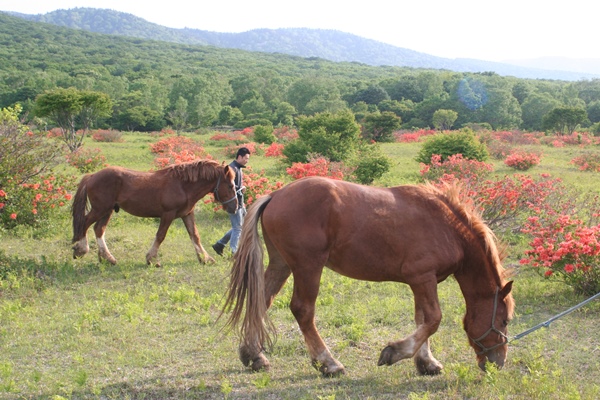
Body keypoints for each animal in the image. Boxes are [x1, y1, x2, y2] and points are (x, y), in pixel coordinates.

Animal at [72, 159, 237, 266]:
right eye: (230, 186)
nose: (235, 207)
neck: (183, 186)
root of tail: (92, 176)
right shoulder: (168, 214)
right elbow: (160, 235)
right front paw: (151, 259)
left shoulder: (187, 214)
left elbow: (194, 236)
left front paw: (205, 258)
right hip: (100, 209)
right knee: (84, 224)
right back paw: (81, 250)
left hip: (107, 211)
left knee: (98, 229)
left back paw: (107, 258)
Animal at [223, 177, 512, 376]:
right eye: (505, 321)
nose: (498, 363)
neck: (447, 227)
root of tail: (276, 195)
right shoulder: (423, 278)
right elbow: (432, 320)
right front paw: (395, 353)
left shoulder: (420, 283)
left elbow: (422, 320)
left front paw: (426, 362)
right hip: (308, 267)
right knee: (303, 310)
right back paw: (328, 363)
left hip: (282, 265)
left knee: (261, 301)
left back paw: (254, 355)